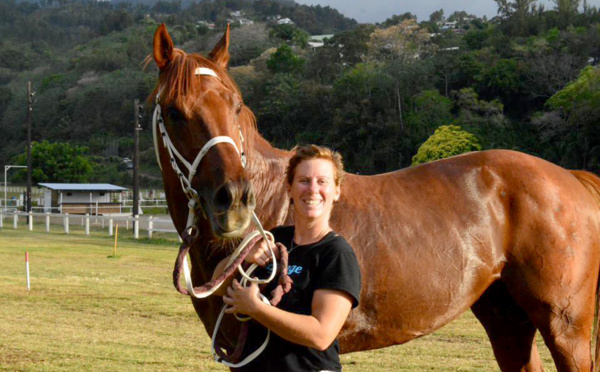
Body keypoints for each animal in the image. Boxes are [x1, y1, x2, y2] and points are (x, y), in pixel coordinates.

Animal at [151, 24, 600, 370]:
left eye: (237, 105)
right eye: (173, 111)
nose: (234, 202)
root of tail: (572, 179)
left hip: (565, 328)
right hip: (507, 319)